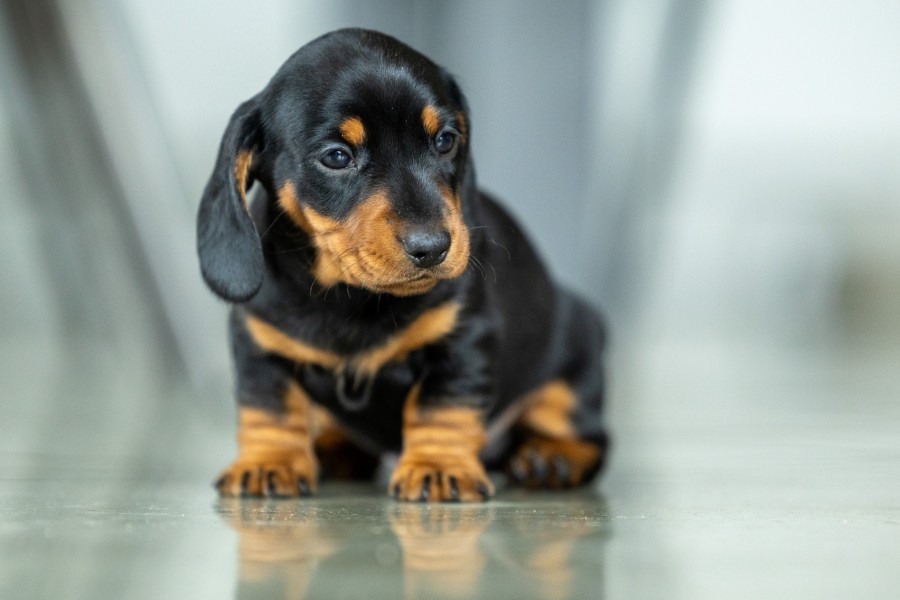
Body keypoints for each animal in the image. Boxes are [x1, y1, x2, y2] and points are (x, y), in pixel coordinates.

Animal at [194, 28, 608, 502]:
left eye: (445, 140)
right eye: (336, 156)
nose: (433, 248)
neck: (352, 298)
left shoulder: (462, 341)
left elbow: (441, 409)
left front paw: (437, 466)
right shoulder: (261, 345)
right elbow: (269, 408)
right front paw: (268, 461)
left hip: (573, 367)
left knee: (591, 437)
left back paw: (553, 458)